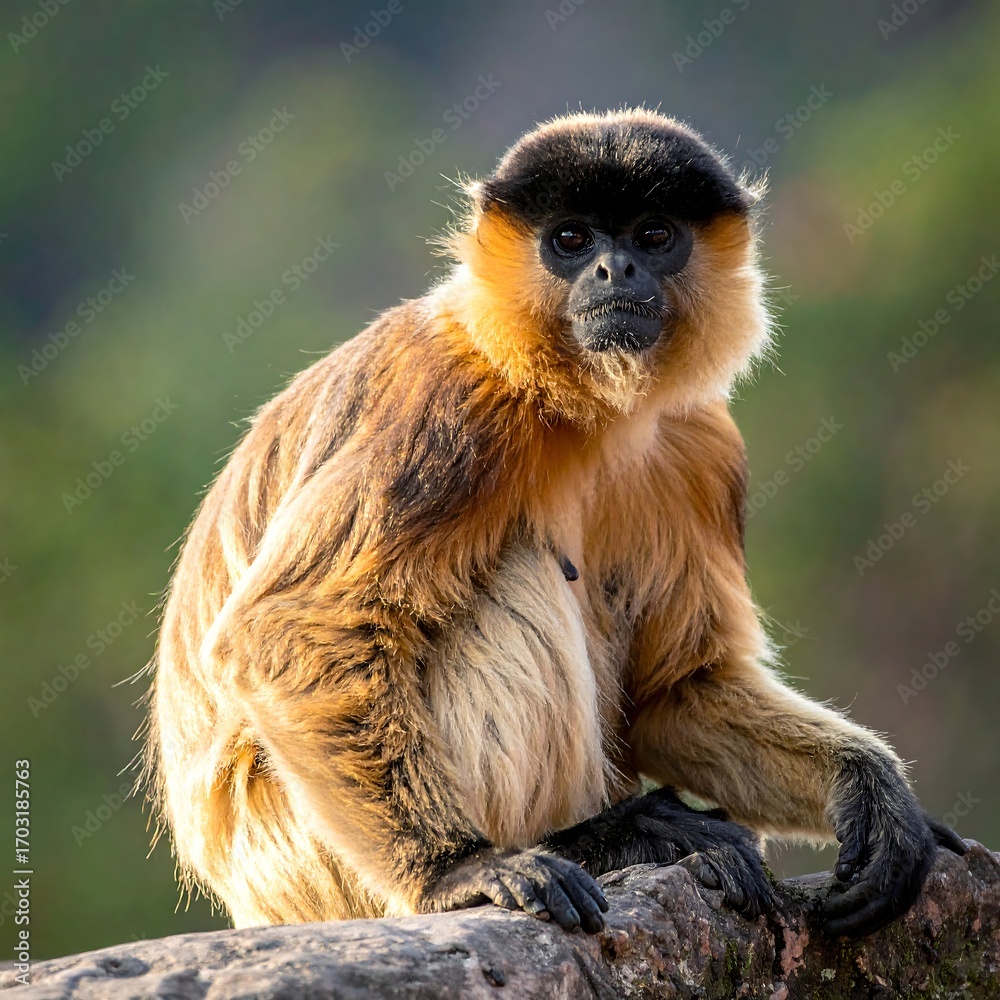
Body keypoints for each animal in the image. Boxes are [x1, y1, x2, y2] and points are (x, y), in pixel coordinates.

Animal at [146, 108, 965, 940]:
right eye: (571, 240)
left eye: (652, 235)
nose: (615, 271)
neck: (579, 407)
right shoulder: (449, 400)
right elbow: (285, 631)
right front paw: (459, 870)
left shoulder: (700, 441)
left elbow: (675, 694)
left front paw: (868, 791)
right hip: (306, 862)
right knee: (518, 572)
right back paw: (602, 838)